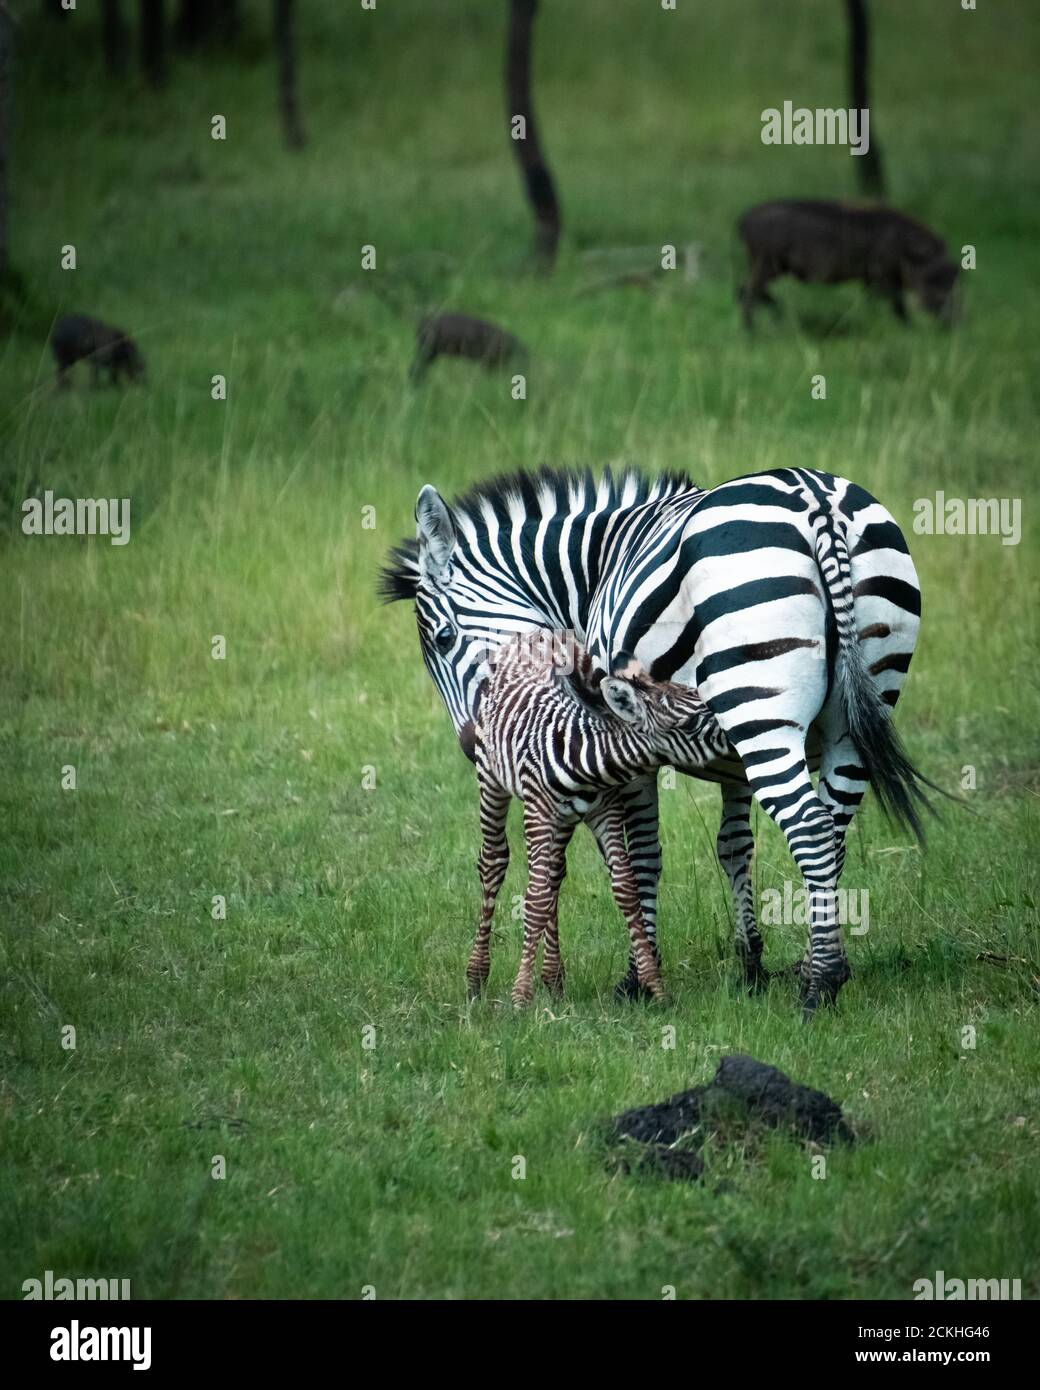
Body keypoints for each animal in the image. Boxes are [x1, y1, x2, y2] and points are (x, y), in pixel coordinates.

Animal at [469, 633, 722, 1011]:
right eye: (691, 723)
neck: (582, 758)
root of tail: (532, 635)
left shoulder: (607, 812)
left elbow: (626, 889)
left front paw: (655, 987)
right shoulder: (539, 812)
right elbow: (535, 899)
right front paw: (520, 997)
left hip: (562, 820)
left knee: (554, 874)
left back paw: (553, 978)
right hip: (491, 779)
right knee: (494, 862)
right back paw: (476, 977)